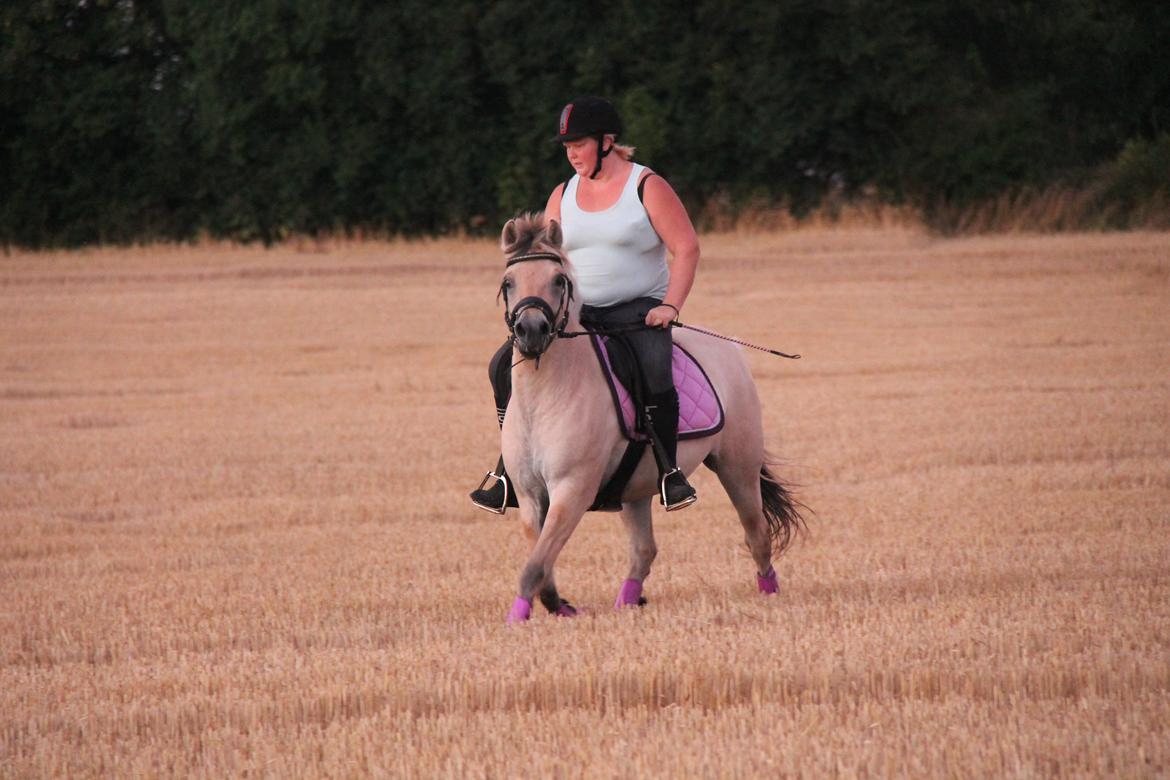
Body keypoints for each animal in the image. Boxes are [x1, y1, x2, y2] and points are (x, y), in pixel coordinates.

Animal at [489, 211, 800, 622]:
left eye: (558, 280)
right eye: (508, 282)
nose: (530, 331)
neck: (546, 396)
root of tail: (731, 348)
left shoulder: (572, 489)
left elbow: (536, 565)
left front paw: (519, 617)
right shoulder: (529, 495)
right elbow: (542, 562)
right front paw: (560, 606)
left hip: (737, 467)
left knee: (757, 533)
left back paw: (770, 593)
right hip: (634, 490)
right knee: (644, 550)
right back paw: (626, 601)